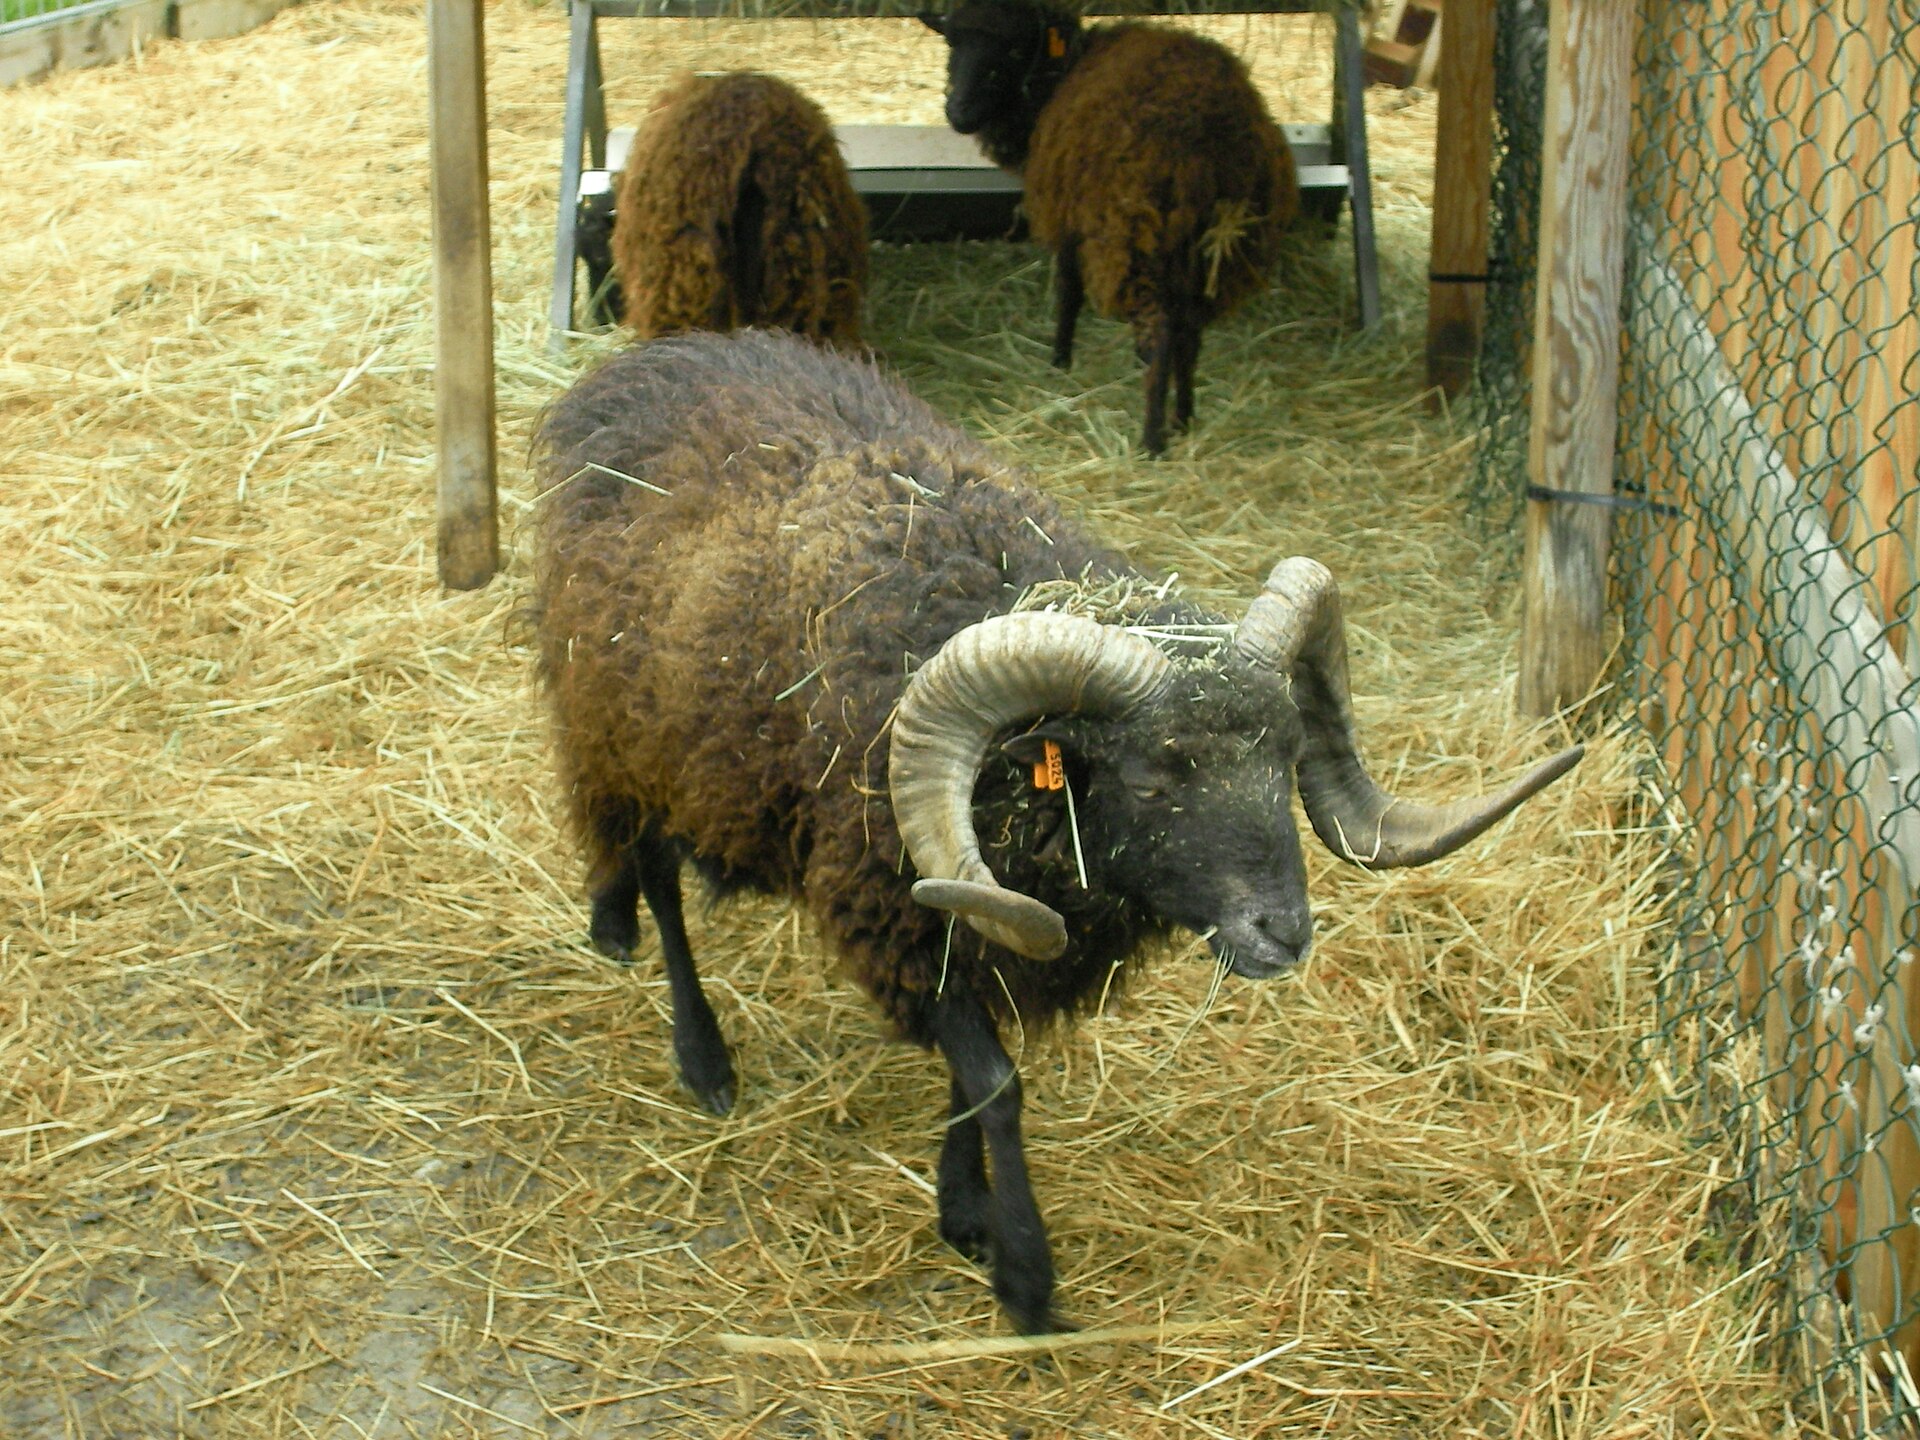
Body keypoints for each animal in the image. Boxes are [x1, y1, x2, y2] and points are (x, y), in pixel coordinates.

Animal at [531, 328, 1581, 1333]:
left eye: (1289, 754)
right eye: (1153, 775)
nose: (1284, 934)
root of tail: (644, 363)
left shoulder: (974, 927)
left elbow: (973, 1083)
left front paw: (963, 1212)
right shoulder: (907, 911)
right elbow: (997, 1085)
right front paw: (1025, 1279)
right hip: (622, 734)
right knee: (659, 881)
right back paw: (699, 1051)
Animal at [921, 0, 1299, 454]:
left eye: (1014, 51)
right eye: (951, 42)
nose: (958, 113)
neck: (1065, 69)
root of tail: (1215, 143)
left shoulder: (1069, 213)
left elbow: (1068, 288)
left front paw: (1060, 358)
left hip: (1139, 233)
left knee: (1161, 331)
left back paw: (1152, 438)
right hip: (1215, 247)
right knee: (1189, 329)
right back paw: (1184, 417)